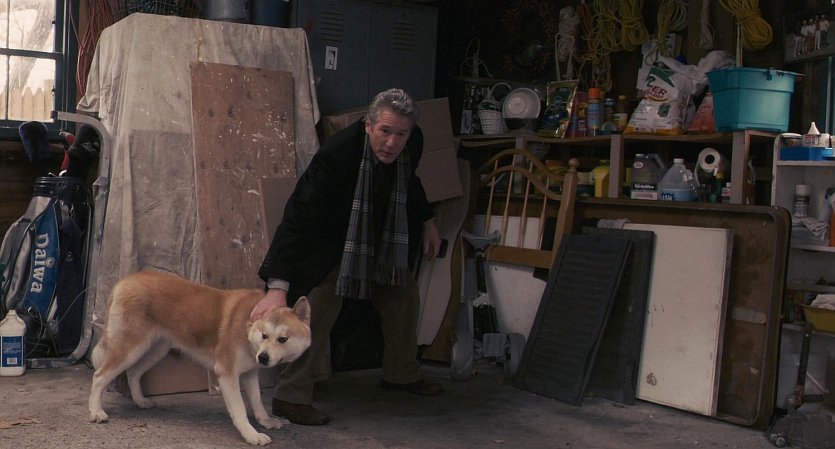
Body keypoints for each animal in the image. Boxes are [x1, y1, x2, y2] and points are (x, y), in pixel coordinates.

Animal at [88, 270, 311, 445]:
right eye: (264, 335)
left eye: (282, 339)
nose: (263, 357)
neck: (248, 329)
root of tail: (124, 281)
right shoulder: (227, 374)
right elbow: (240, 409)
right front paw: (251, 435)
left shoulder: (249, 373)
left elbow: (257, 403)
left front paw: (265, 421)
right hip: (130, 349)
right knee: (99, 377)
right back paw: (96, 411)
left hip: (155, 350)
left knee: (133, 373)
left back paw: (140, 401)